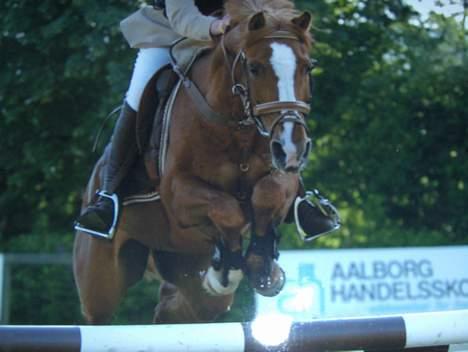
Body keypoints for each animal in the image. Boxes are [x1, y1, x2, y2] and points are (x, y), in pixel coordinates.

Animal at [73, 0, 314, 324]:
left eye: (307, 67)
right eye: (254, 68)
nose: (292, 146)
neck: (234, 125)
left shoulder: (283, 175)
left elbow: (268, 192)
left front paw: (260, 262)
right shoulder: (177, 192)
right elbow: (227, 209)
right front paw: (230, 267)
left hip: (186, 269)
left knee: (175, 309)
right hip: (99, 285)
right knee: (100, 313)